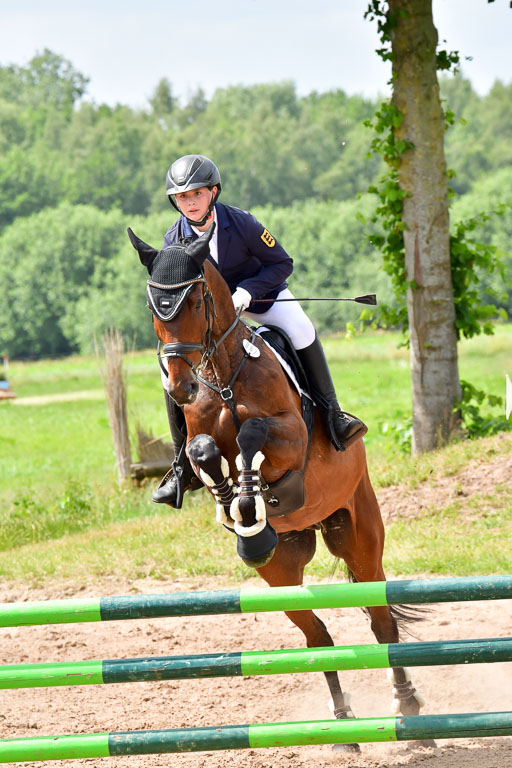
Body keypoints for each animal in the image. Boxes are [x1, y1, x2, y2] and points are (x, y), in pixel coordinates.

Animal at [128, 224, 427, 752]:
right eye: (153, 307)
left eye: (197, 299)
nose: (181, 387)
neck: (223, 376)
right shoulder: (199, 437)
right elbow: (203, 449)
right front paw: (236, 504)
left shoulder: (291, 435)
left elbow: (254, 434)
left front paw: (249, 492)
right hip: (281, 572)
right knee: (318, 636)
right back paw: (343, 725)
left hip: (359, 536)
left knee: (381, 620)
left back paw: (407, 712)